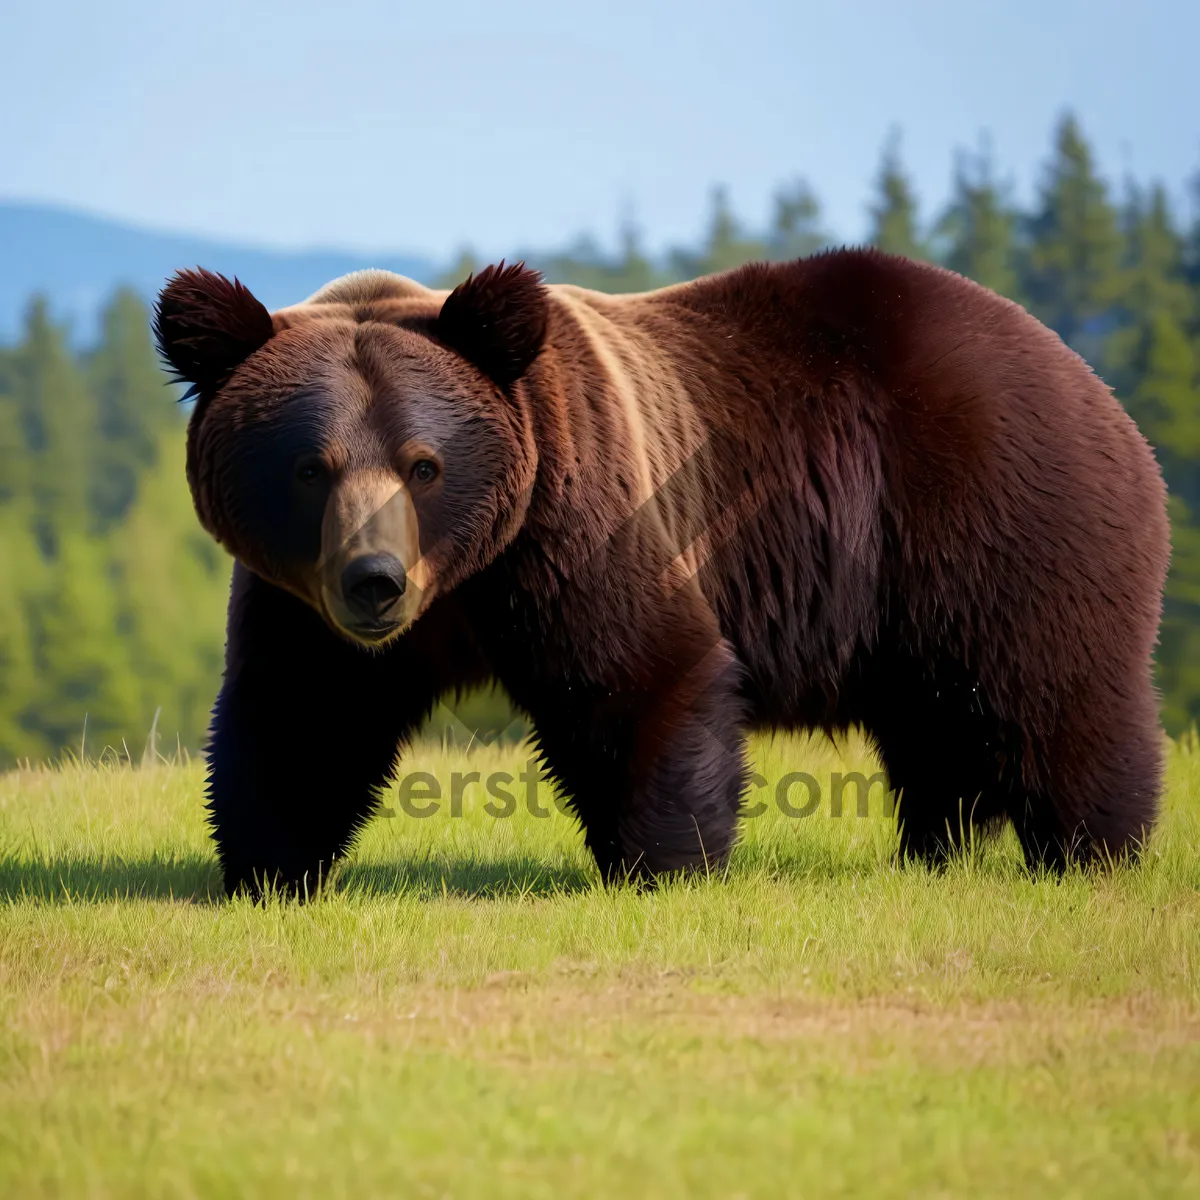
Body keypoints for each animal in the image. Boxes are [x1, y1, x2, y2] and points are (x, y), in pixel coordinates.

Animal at [152, 253, 1171, 897]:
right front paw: (269, 866)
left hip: (1000, 516)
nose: (376, 581)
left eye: (424, 464)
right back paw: (935, 848)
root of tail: (1092, 380)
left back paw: (1093, 851)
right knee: (937, 723)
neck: (463, 579)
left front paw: (665, 864)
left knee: (1051, 694)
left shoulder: (580, 523)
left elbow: (643, 674)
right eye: (309, 467)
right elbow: (304, 714)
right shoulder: (304, 601)